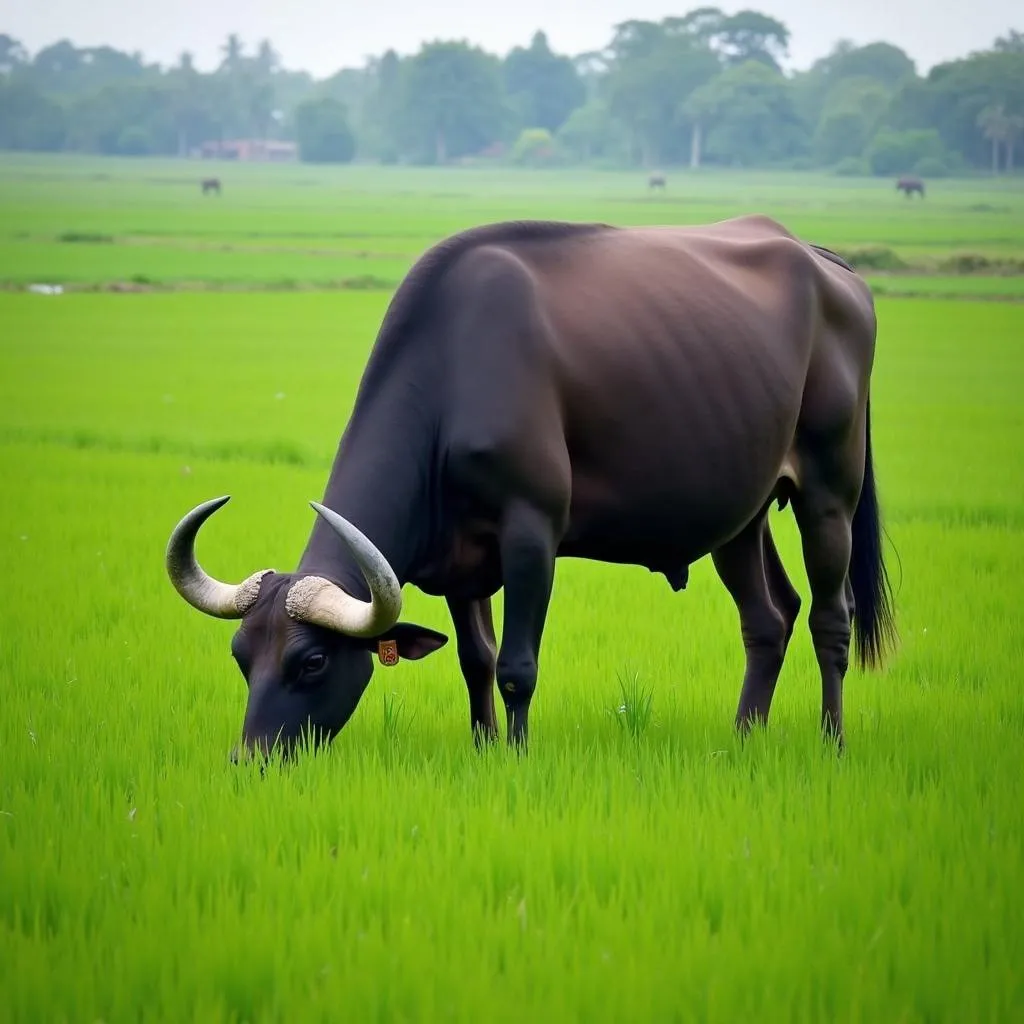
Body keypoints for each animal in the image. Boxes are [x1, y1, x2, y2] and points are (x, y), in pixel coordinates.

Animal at [167, 214, 897, 761]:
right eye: (242, 656)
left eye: (313, 662)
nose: (251, 757)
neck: (453, 374)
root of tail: (832, 269)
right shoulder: (460, 565)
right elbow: (476, 659)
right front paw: (484, 746)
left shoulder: (531, 534)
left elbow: (517, 665)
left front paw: (515, 756)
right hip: (741, 515)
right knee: (768, 618)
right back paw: (744, 737)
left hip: (829, 495)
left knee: (832, 617)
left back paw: (832, 740)